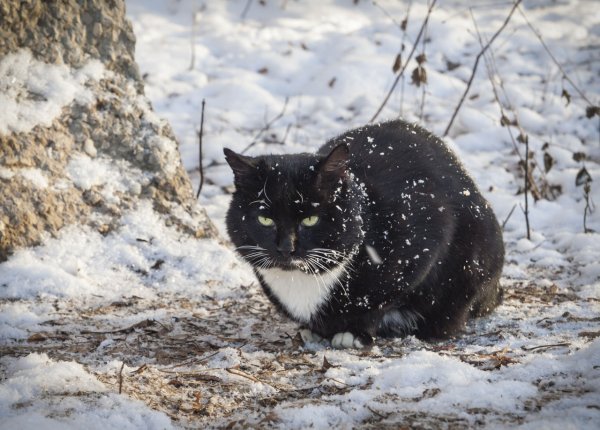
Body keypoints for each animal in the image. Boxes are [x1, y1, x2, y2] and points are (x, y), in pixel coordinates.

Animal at [223, 119, 504, 348]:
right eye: (265, 219)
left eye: (310, 219)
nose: (285, 247)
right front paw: (315, 330)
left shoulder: (425, 237)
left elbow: (379, 304)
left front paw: (355, 333)